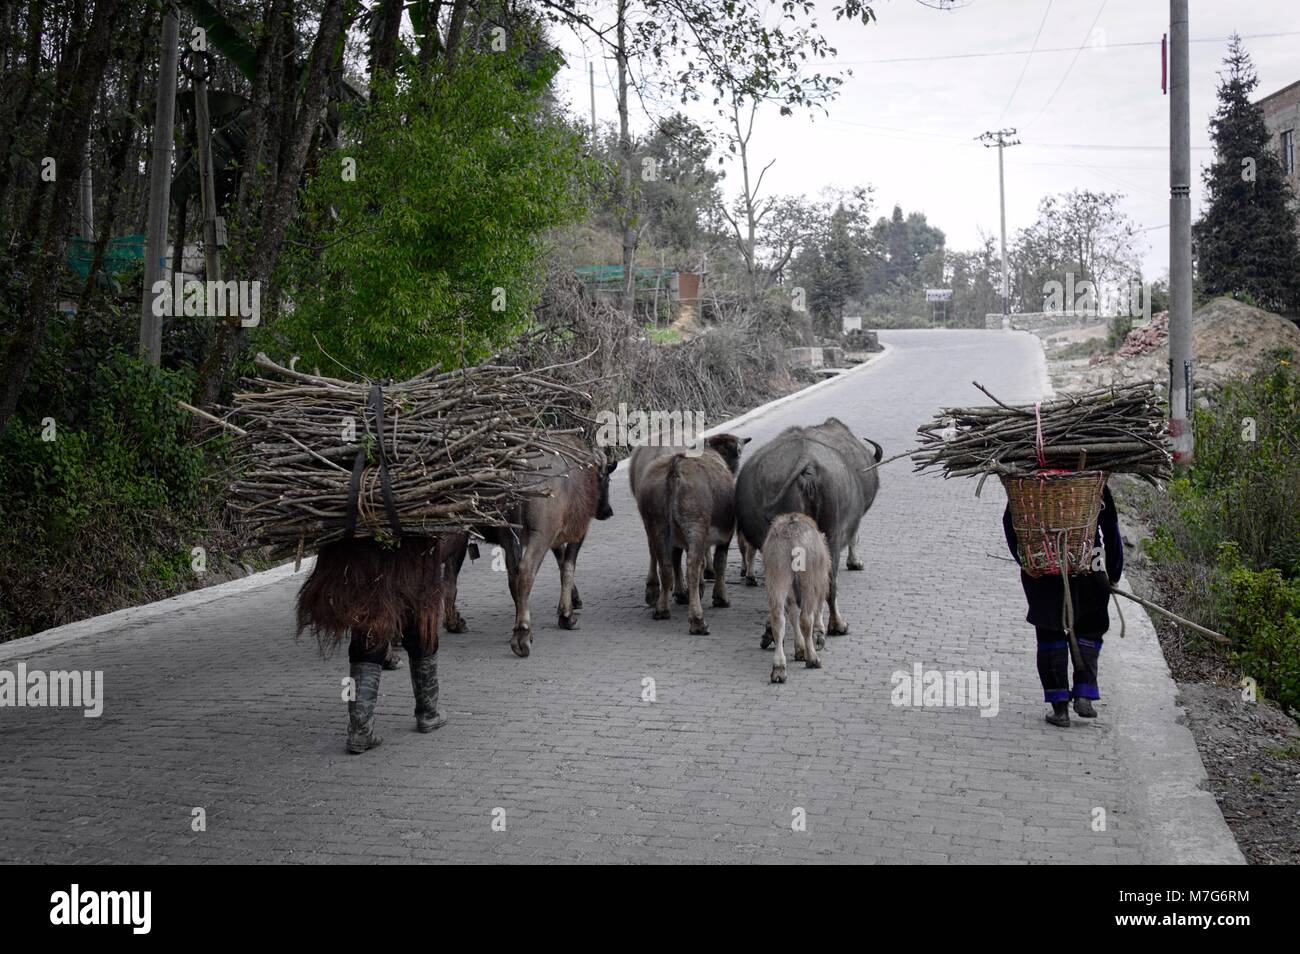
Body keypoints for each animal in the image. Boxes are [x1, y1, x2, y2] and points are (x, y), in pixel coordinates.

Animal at [631, 434, 748, 634]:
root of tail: (675, 468)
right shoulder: (726, 535)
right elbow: (719, 563)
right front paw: (720, 597)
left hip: (657, 525)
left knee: (665, 565)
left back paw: (661, 608)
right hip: (695, 525)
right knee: (691, 568)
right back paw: (697, 619)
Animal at [733, 418, 883, 642]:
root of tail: (806, 463)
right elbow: (854, 538)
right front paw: (856, 562)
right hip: (831, 534)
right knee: (826, 583)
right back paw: (835, 626)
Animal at [759, 514, 832, 686]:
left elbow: (792, 615)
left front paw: (799, 649)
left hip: (777, 574)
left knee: (778, 619)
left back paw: (779, 668)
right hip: (808, 580)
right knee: (805, 619)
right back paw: (812, 659)